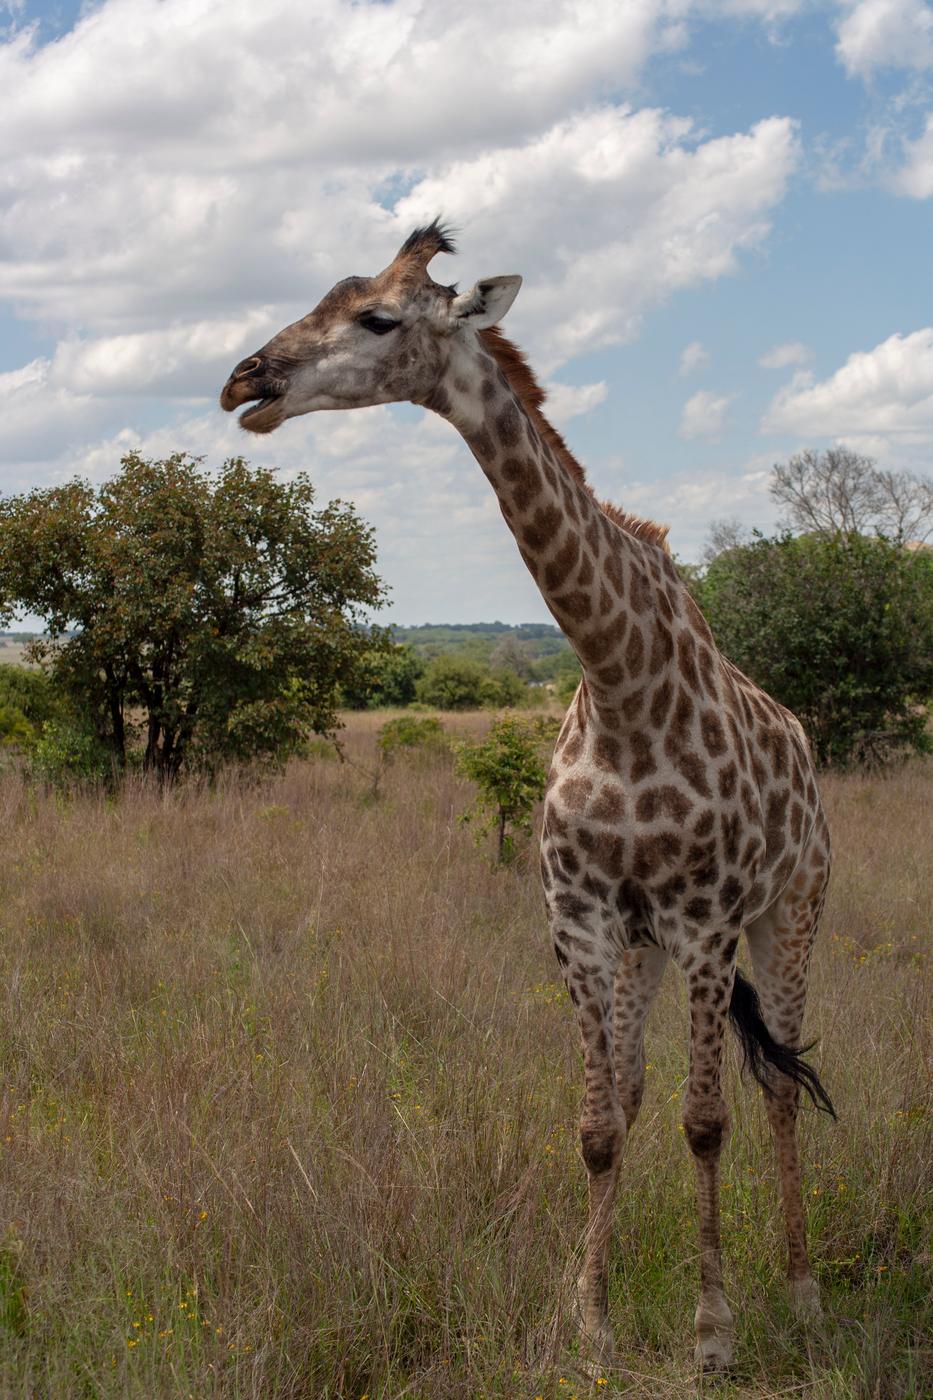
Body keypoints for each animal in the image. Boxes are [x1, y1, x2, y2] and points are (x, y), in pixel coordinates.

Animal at [220, 222, 835, 1372]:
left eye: (378, 317)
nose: (247, 381)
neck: (619, 680)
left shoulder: (705, 921)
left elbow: (705, 1121)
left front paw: (713, 1330)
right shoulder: (582, 920)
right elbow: (599, 1123)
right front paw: (587, 1318)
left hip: (791, 908)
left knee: (778, 1081)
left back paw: (803, 1289)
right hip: (648, 943)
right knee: (643, 1087)